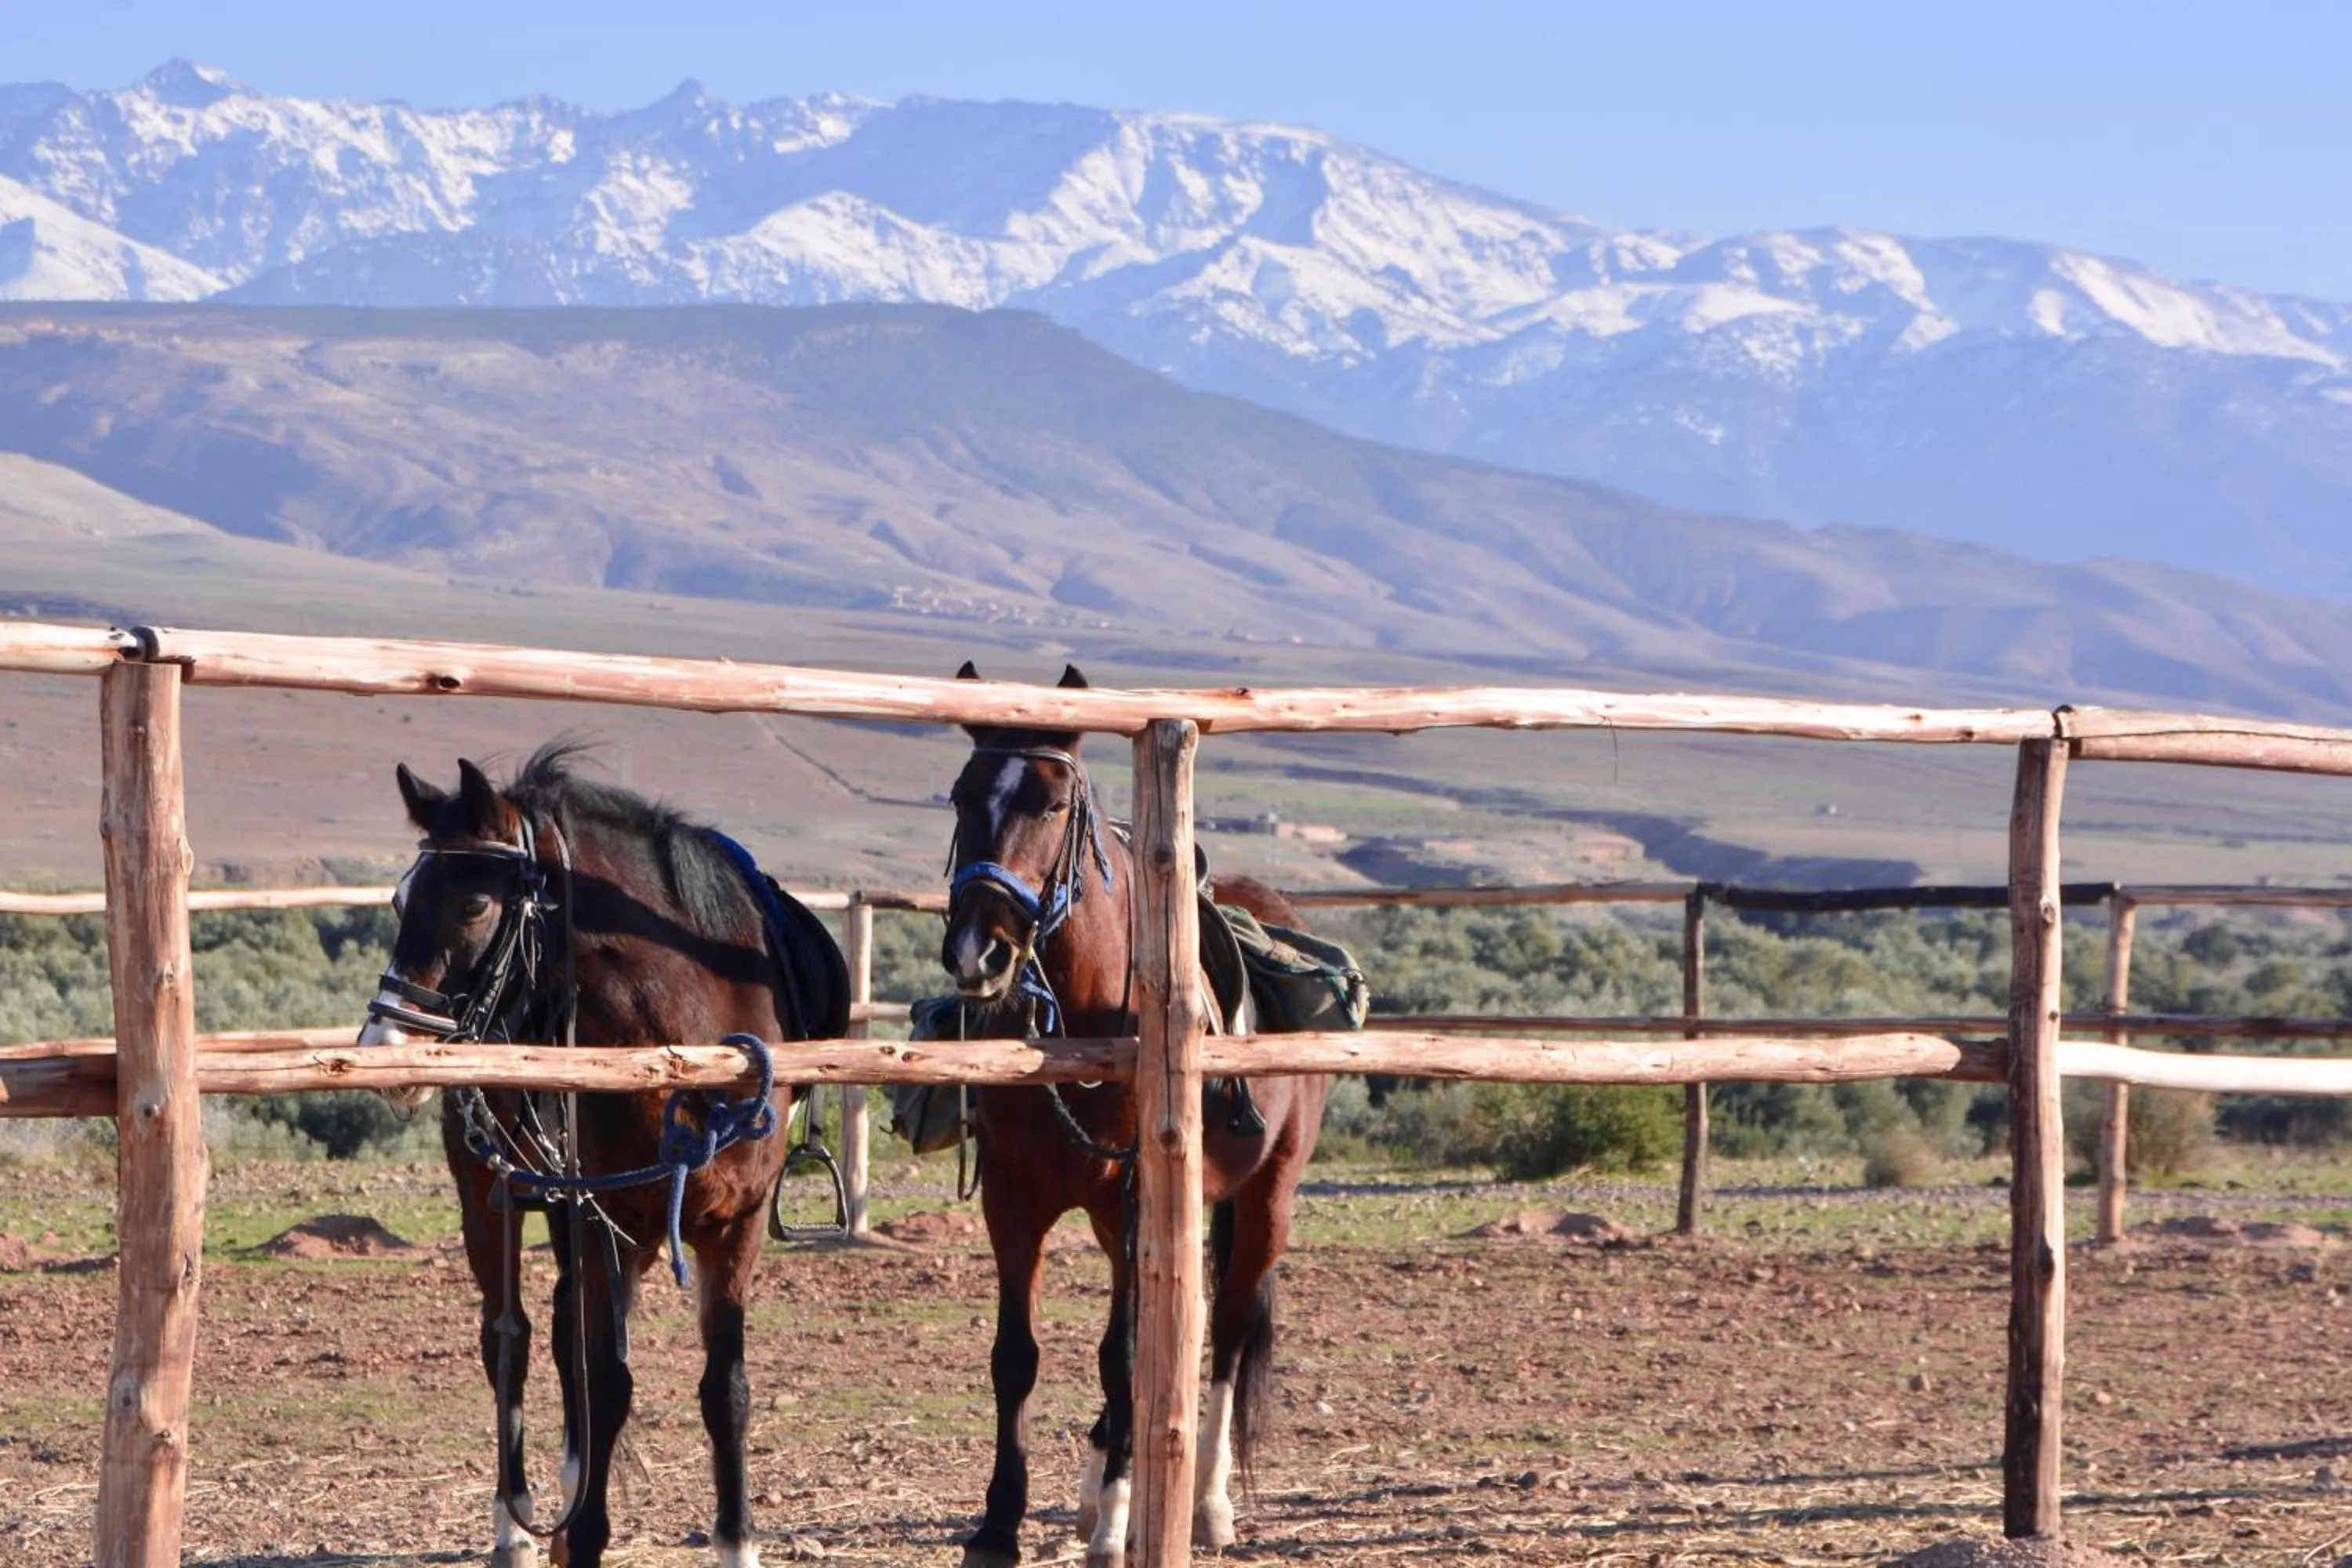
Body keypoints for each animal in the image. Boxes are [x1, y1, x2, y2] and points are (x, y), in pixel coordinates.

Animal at [357, 744, 847, 1568]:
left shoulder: (731, 1226)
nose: (386, 1048)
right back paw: (516, 1524)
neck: (685, 1053)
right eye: (398, 902)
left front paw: (735, 1541)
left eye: (473, 906)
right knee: (512, 1342)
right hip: (493, 1199)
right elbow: (606, 1381)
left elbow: (725, 1389)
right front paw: (582, 1533)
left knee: (560, 1335)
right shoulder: (604, 1222)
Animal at [940, 663, 1333, 1568]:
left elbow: (1122, 1356)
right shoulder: (1013, 1201)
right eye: (961, 796)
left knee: (1226, 1333)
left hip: (1266, 1197)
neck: (1085, 1021)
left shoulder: (1130, 1205)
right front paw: (997, 1524)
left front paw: (1120, 1522)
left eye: (1052, 802)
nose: (979, 950)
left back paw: (1205, 1504)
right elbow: (1016, 1356)